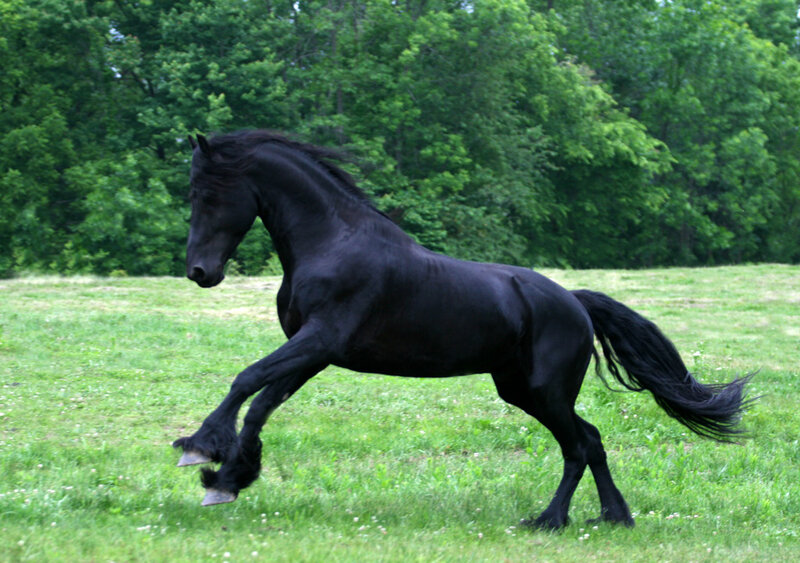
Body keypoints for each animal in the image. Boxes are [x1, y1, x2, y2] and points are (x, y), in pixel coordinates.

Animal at [173, 130, 753, 529]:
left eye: (205, 193)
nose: (201, 272)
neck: (333, 242)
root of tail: (576, 303)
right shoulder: (313, 352)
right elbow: (262, 404)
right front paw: (228, 478)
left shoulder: (318, 340)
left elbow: (247, 380)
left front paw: (200, 450)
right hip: (522, 390)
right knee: (591, 439)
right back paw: (613, 516)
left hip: (545, 392)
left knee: (578, 447)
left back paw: (550, 520)